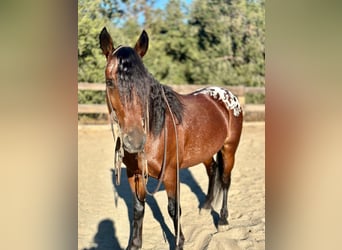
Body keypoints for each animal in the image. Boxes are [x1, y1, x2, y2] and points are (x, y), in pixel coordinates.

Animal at [99, 27, 243, 250]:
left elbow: (174, 210)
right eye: (109, 82)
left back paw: (223, 220)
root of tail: (227, 95)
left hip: (229, 148)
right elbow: (138, 209)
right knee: (212, 171)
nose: (134, 140)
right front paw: (134, 244)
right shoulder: (134, 174)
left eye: (145, 83)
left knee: (226, 180)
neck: (155, 132)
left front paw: (179, 242)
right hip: (206, 151)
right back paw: (206, 206)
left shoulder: (170, 174)